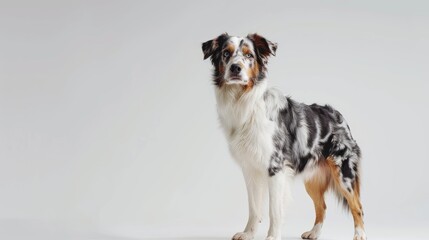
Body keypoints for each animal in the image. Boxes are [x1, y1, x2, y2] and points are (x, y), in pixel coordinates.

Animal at [202, 32, 366, 240]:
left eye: (249, 55)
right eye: (226, 53)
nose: (235, 68)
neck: (244, 102)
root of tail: (337, 114)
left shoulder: (276, 168)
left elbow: (274, 210)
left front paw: (272, 236)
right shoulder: (250, 169)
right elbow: (254, 208)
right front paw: (248, 233)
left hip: (344, 173)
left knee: (357, 206)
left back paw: (359, 235)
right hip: (312, 179)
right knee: (322, 206)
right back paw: (314, 232)